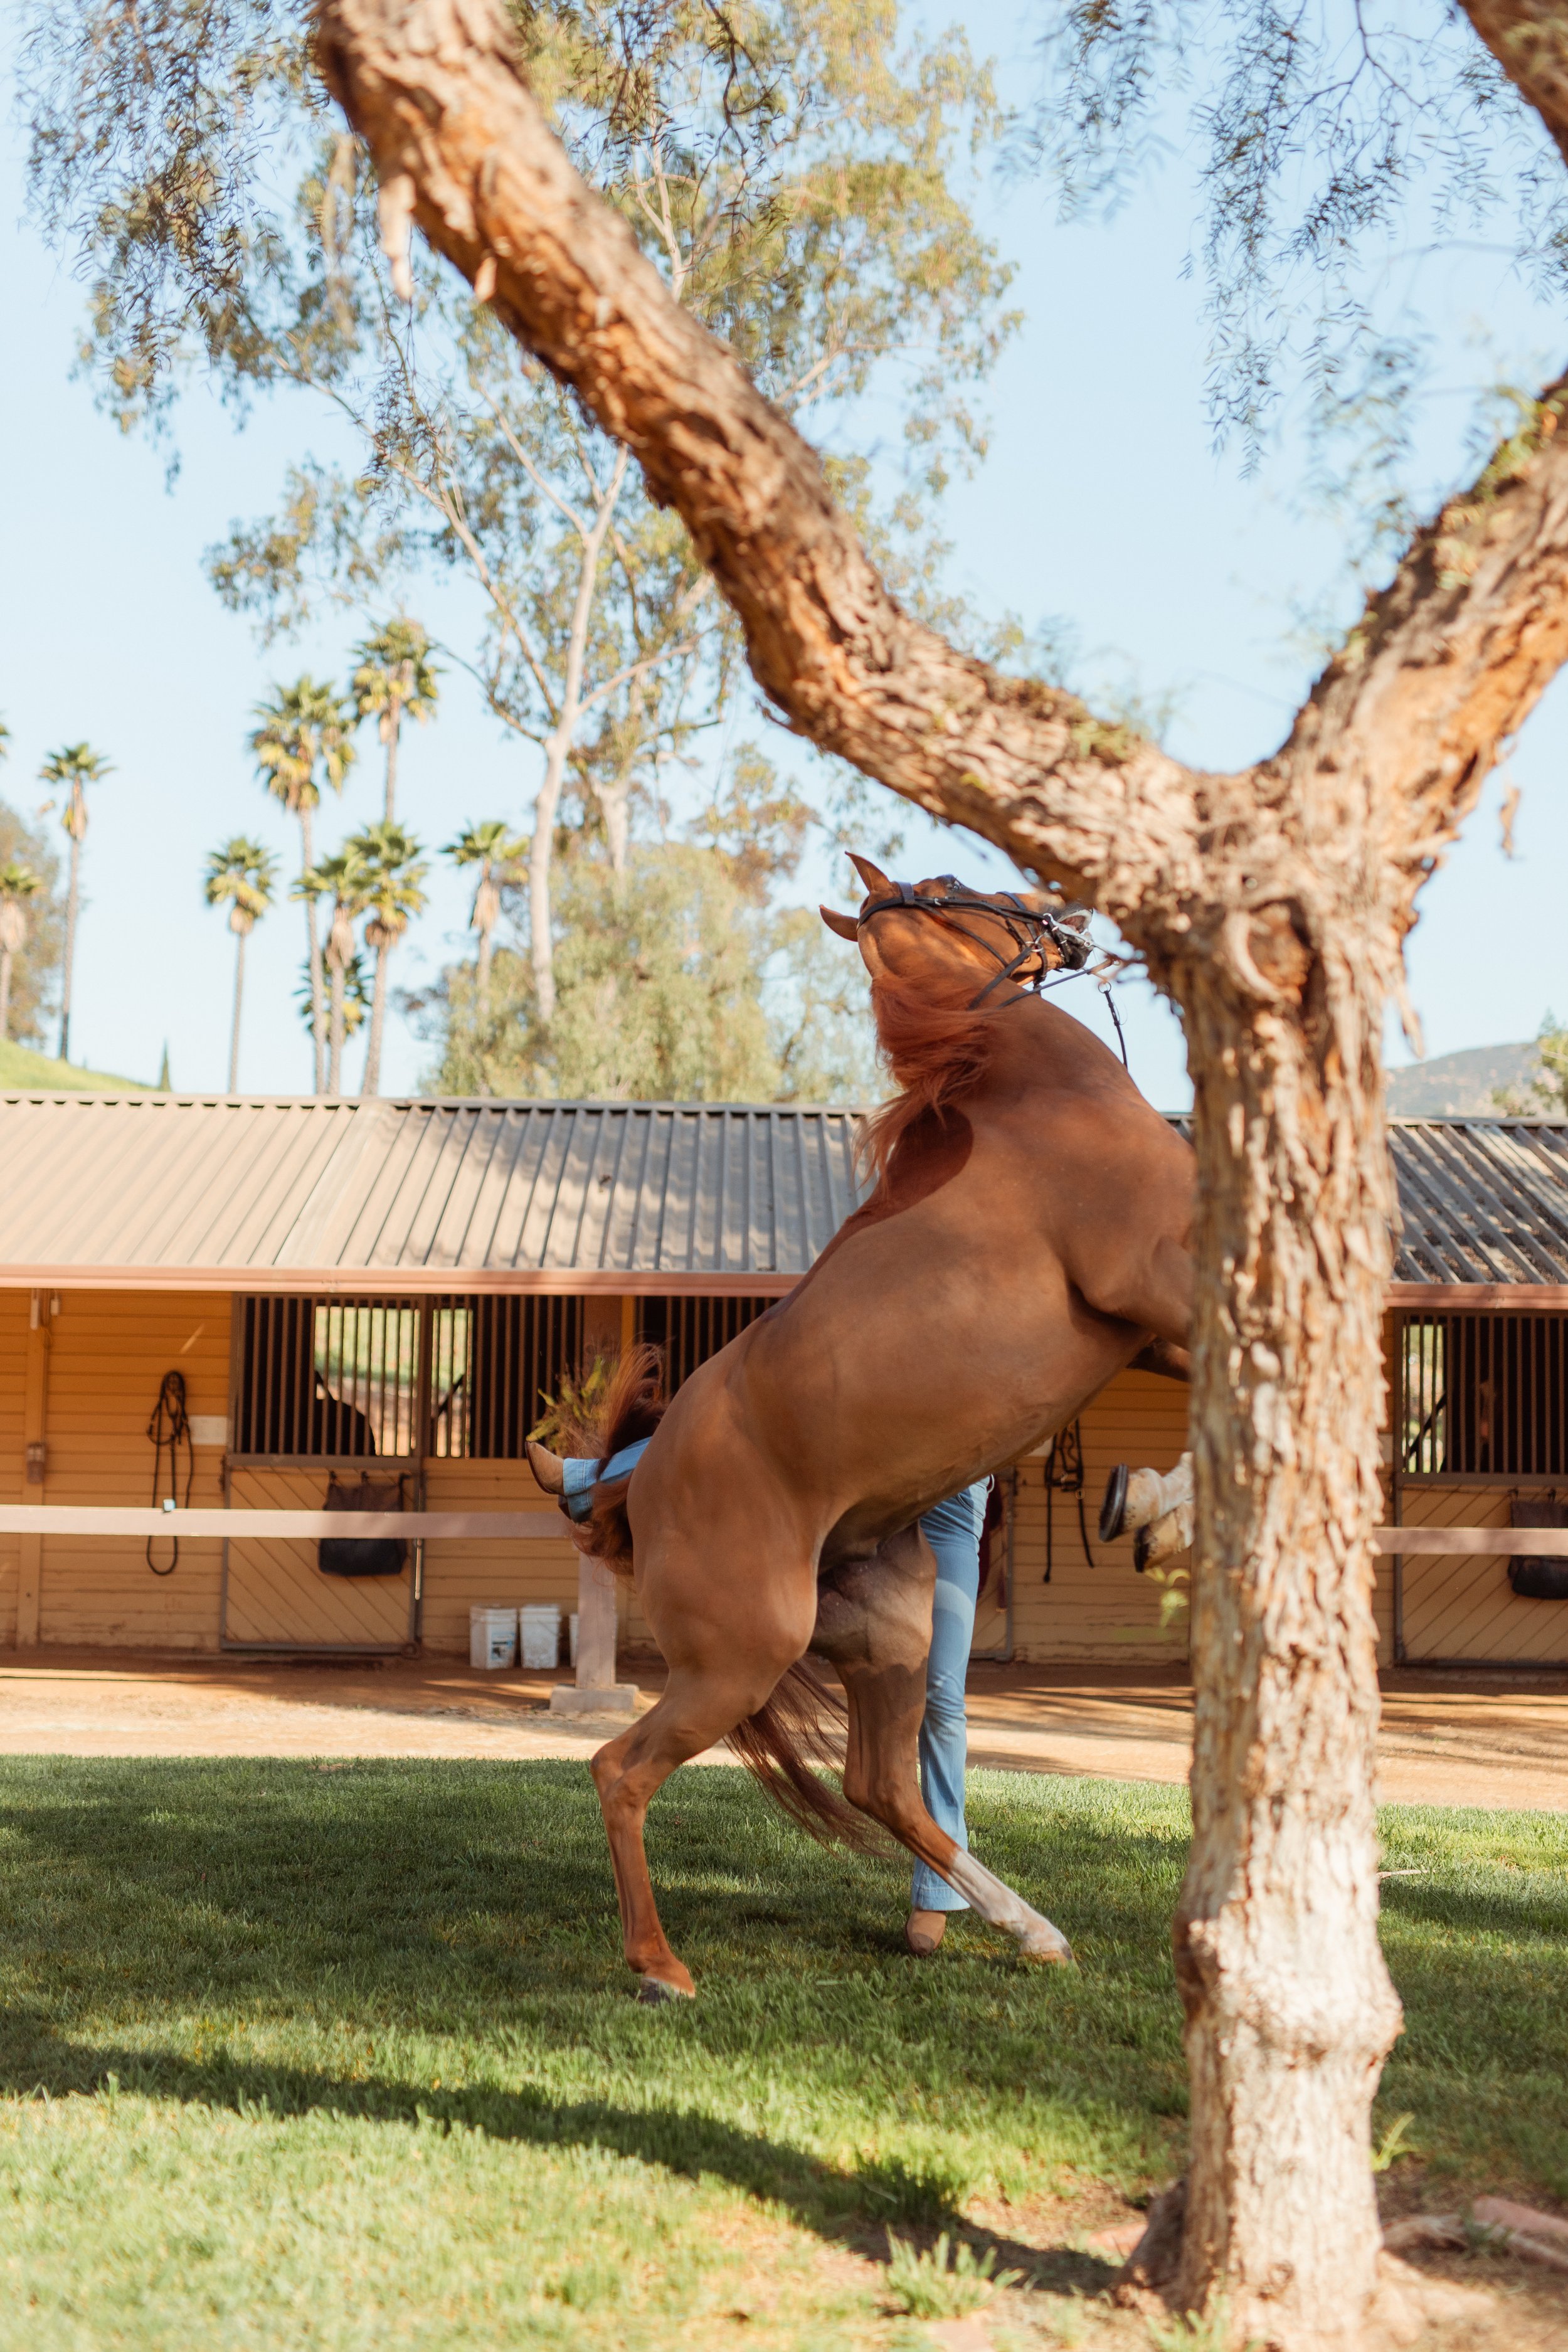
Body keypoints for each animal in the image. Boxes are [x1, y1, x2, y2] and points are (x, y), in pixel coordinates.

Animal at [529, 858, 1196, 2001]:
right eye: (954, 882)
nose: (1060, 912)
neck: (1034, 1100)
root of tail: (638, 1484)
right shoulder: (1163, 1291)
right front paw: (1152, 1511)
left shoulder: (1153, 1331)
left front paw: (1147, 1505)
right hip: (739, 1659)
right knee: (623, 1769)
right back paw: (661, 1965)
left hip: (887, 1643)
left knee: (882, 1786)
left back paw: (1031, 1930)